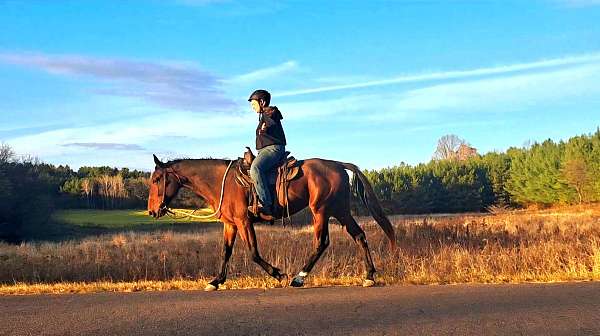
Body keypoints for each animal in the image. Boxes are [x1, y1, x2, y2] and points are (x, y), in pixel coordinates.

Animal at [148, 154, 396, 290]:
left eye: (157, 179)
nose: (152, 211)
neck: (221, 182)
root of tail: (337, 164)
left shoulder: (243, 222)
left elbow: (253, 253)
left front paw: (278, 274)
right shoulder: (230, 224)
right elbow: (225, 252)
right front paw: (216, 281)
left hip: (321, 211)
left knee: (322, 243)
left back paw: (298, 278)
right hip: (340, 211)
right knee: (359, 236)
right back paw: (369, 276)